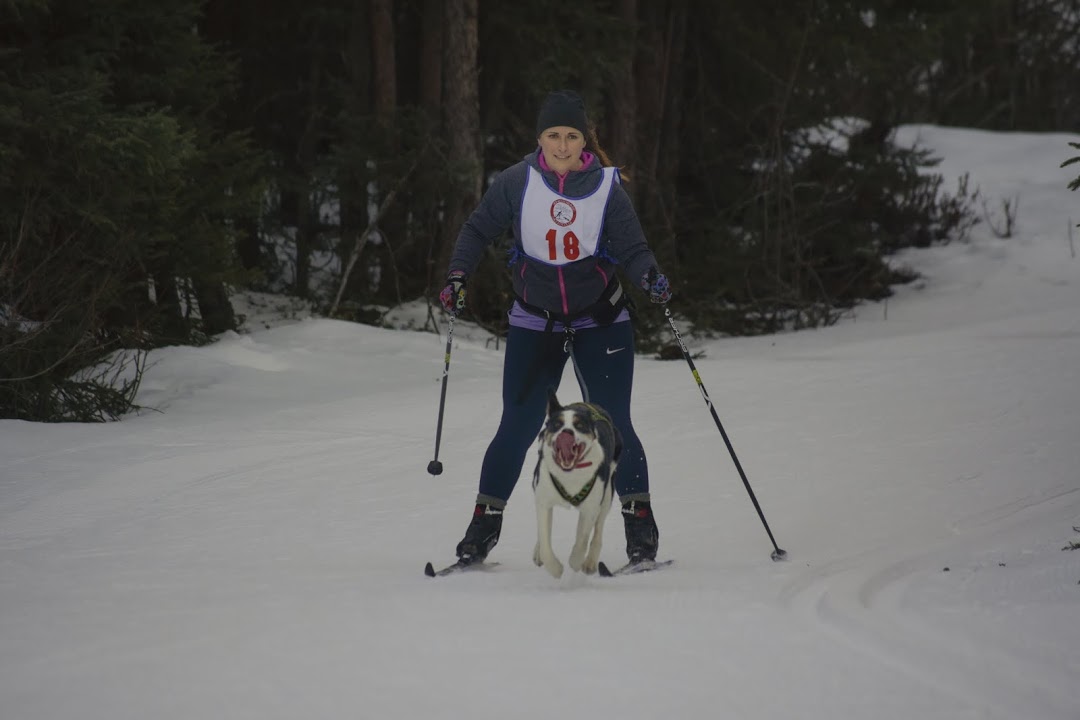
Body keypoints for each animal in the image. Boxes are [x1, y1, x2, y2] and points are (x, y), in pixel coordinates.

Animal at [531, 388, 626, 578]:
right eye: (557, 424)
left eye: (579, 425)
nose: (566, 432)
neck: (570, 474)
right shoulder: (543, 500)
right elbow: (545, 542)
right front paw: (555, 568)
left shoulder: (590, 508)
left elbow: (582, 539)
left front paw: (575, 561)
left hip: (606, 496)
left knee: (598, 532)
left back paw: (590, 562)